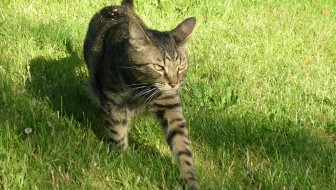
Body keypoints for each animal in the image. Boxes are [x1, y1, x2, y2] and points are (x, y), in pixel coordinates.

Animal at [84, 0, 200, 189]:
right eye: (158, 67)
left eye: (181, 66)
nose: (174, 83)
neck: (143, 89)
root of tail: (119, 7)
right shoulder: (114, 105)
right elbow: (118, 133)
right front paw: (123, 161)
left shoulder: (171, 107)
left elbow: (182, 147)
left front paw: (189, 180)